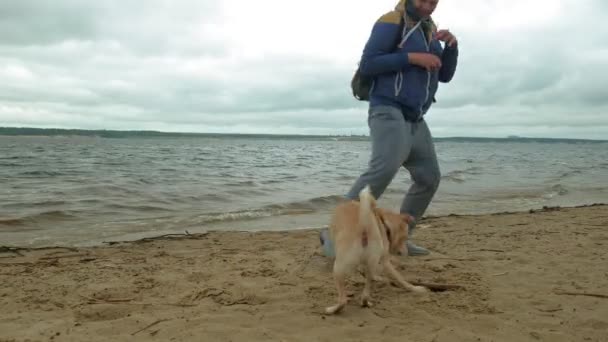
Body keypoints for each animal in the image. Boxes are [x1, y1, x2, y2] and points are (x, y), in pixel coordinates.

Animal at [326, 186, 426, 314]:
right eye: (404, 238)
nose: (405, 253)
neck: (384, 223)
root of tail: (364, 227)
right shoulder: (384, 260)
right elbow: (398, 277)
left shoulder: (384, 261)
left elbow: (398, 277)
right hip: (371, 262)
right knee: (367, 287)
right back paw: (367, 301)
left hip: (338, 269)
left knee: (343, 300)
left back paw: (332, 309)